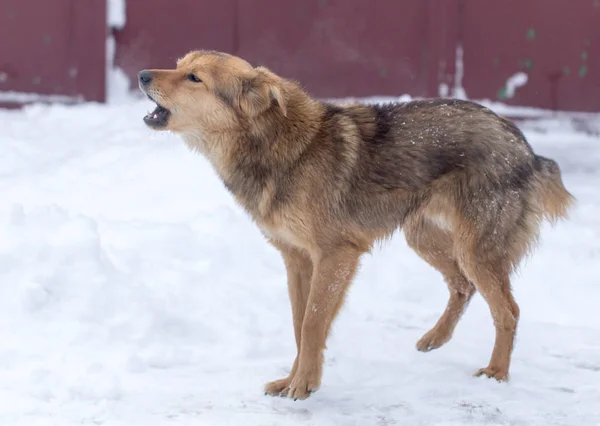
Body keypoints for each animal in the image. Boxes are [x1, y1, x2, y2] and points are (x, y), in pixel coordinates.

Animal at [138, 49, 576, 400]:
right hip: (422, 237)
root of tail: (526, 148)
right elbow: (300, 325)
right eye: (178, 65)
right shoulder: (297, 260)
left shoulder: (336, 256)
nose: (142, 75)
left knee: (508, 310)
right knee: (462, 286)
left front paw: (304, 386)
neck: (276, 145)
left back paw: (496, 373)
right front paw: (292, 379)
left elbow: (313, 323)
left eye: (194, 78)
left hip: (475, 250)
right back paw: (435, 339)